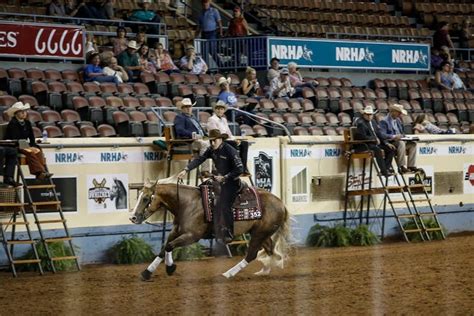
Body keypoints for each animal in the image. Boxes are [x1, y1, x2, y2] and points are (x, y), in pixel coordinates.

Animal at [131, 177, 292, 280]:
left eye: (146, 198)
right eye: (138, 197)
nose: (133, 218)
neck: (187, 203)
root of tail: (281, 204)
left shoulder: (192, 236)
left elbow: (169, 246)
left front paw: (170, 268)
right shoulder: (175, 231)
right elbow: (164, 248)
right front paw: (147, 272)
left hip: (259, 234)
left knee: (251, 255)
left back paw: (228, 274)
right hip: (260, 233)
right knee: (271, 250)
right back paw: (264, 271)